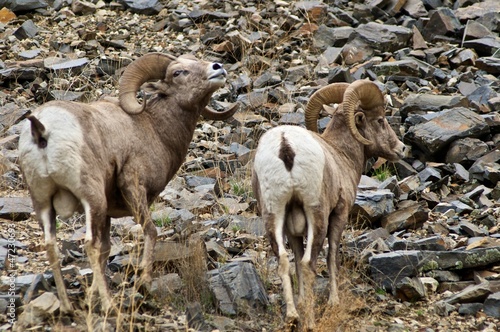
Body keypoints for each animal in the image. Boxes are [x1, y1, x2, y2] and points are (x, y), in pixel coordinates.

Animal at [18, 52, 237, 314]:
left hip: (43, 203)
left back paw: (68, 306)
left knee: (52, 247)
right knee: (89, 245)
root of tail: (41, 130)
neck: (152, 128)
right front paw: (144, 279)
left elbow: (105, 251)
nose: (218, 67)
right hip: (91, 198)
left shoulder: (107, 214)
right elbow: (150, 231)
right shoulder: (133, 186)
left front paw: (91, 297)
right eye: (178, 72)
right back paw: (110, 306)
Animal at [252, 80, 404, 330]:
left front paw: (302, 300)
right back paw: (310, 322)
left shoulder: (292, 231)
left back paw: (293, 317)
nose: (401, 149)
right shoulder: (339, 214)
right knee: (308, 263)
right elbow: (332, 254)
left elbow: (295, 259)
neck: (341, 154)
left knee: (284, 260)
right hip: (317, 215)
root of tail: (285, 145)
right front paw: (334, 301)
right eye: (380, 120)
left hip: (273, 215)